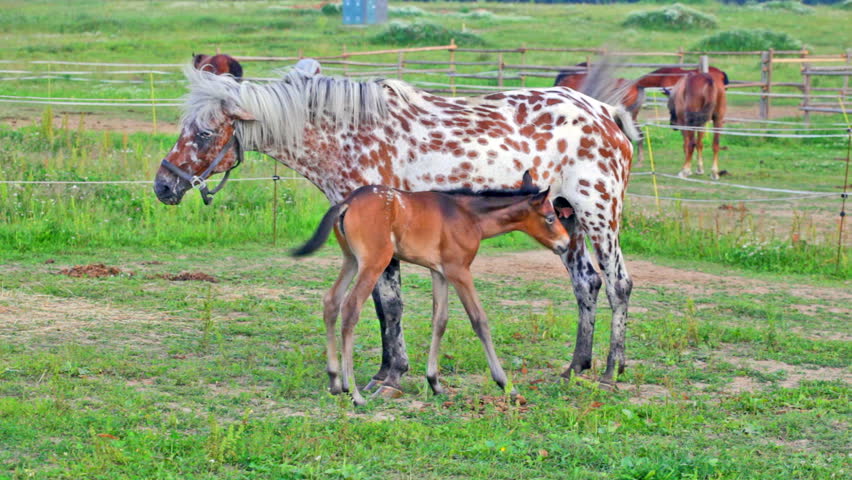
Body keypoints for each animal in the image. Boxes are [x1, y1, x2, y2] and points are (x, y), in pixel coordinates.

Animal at [294, 171, 572, 404]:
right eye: (550, 218)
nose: (566, 243)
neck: (468, 216)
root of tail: (348, 201)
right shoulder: (459, 270)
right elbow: (479, 320)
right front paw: (506, 385)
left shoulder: (439, 272)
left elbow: (440, 321)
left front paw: (434, 382)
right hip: (373, 262)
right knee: (350, 308)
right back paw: (354, 392)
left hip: (351, 259)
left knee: (331, 301)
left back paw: (334, 381)